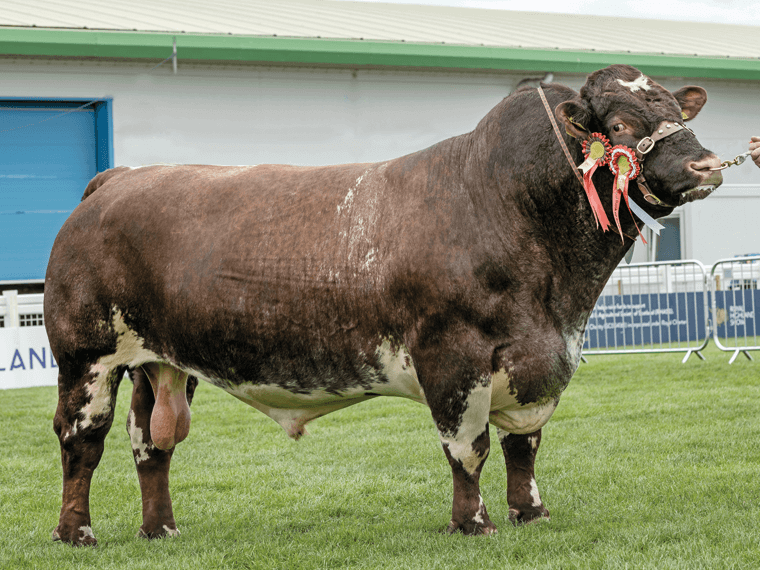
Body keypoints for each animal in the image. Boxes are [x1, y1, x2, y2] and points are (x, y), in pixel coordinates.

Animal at [47, 64, 724, 544]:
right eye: (620, 126)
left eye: (672, 109)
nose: (707, 163)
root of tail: (120, 178)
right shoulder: (453, 356)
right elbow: (469, 448)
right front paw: (472, 523)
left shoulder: (539, 360)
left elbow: (523, 446)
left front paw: (531, 514)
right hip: (87, 356)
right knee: (82, 440)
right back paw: (77, 533)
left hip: (160, 361)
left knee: (151, 443)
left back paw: (160, 529)